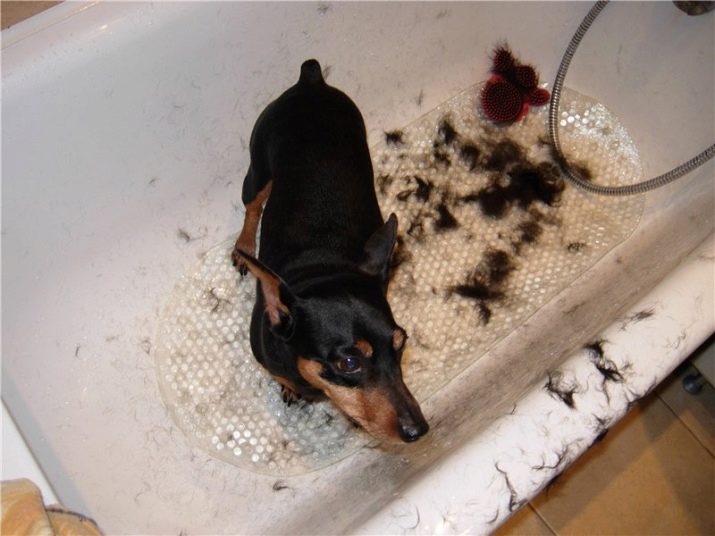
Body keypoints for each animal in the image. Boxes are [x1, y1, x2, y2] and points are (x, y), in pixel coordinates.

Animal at [232, 59, 429, 443]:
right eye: (349, 363)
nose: (419, 430)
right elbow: (282, 377)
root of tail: (311, 81)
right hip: (257, 166)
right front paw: (290, 387)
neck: (321, 268)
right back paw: (244, 246)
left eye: (401, 342)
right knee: (253, 205)